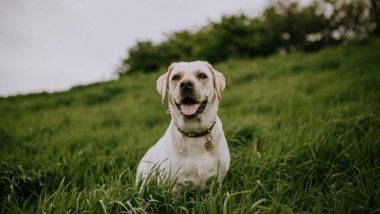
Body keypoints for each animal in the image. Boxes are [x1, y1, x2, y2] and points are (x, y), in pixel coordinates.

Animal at [137, 60, 230, 192]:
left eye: (202, 75)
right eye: (176, 77)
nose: (186, 84)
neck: (194, 133)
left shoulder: (218, 181)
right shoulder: (172, 186)